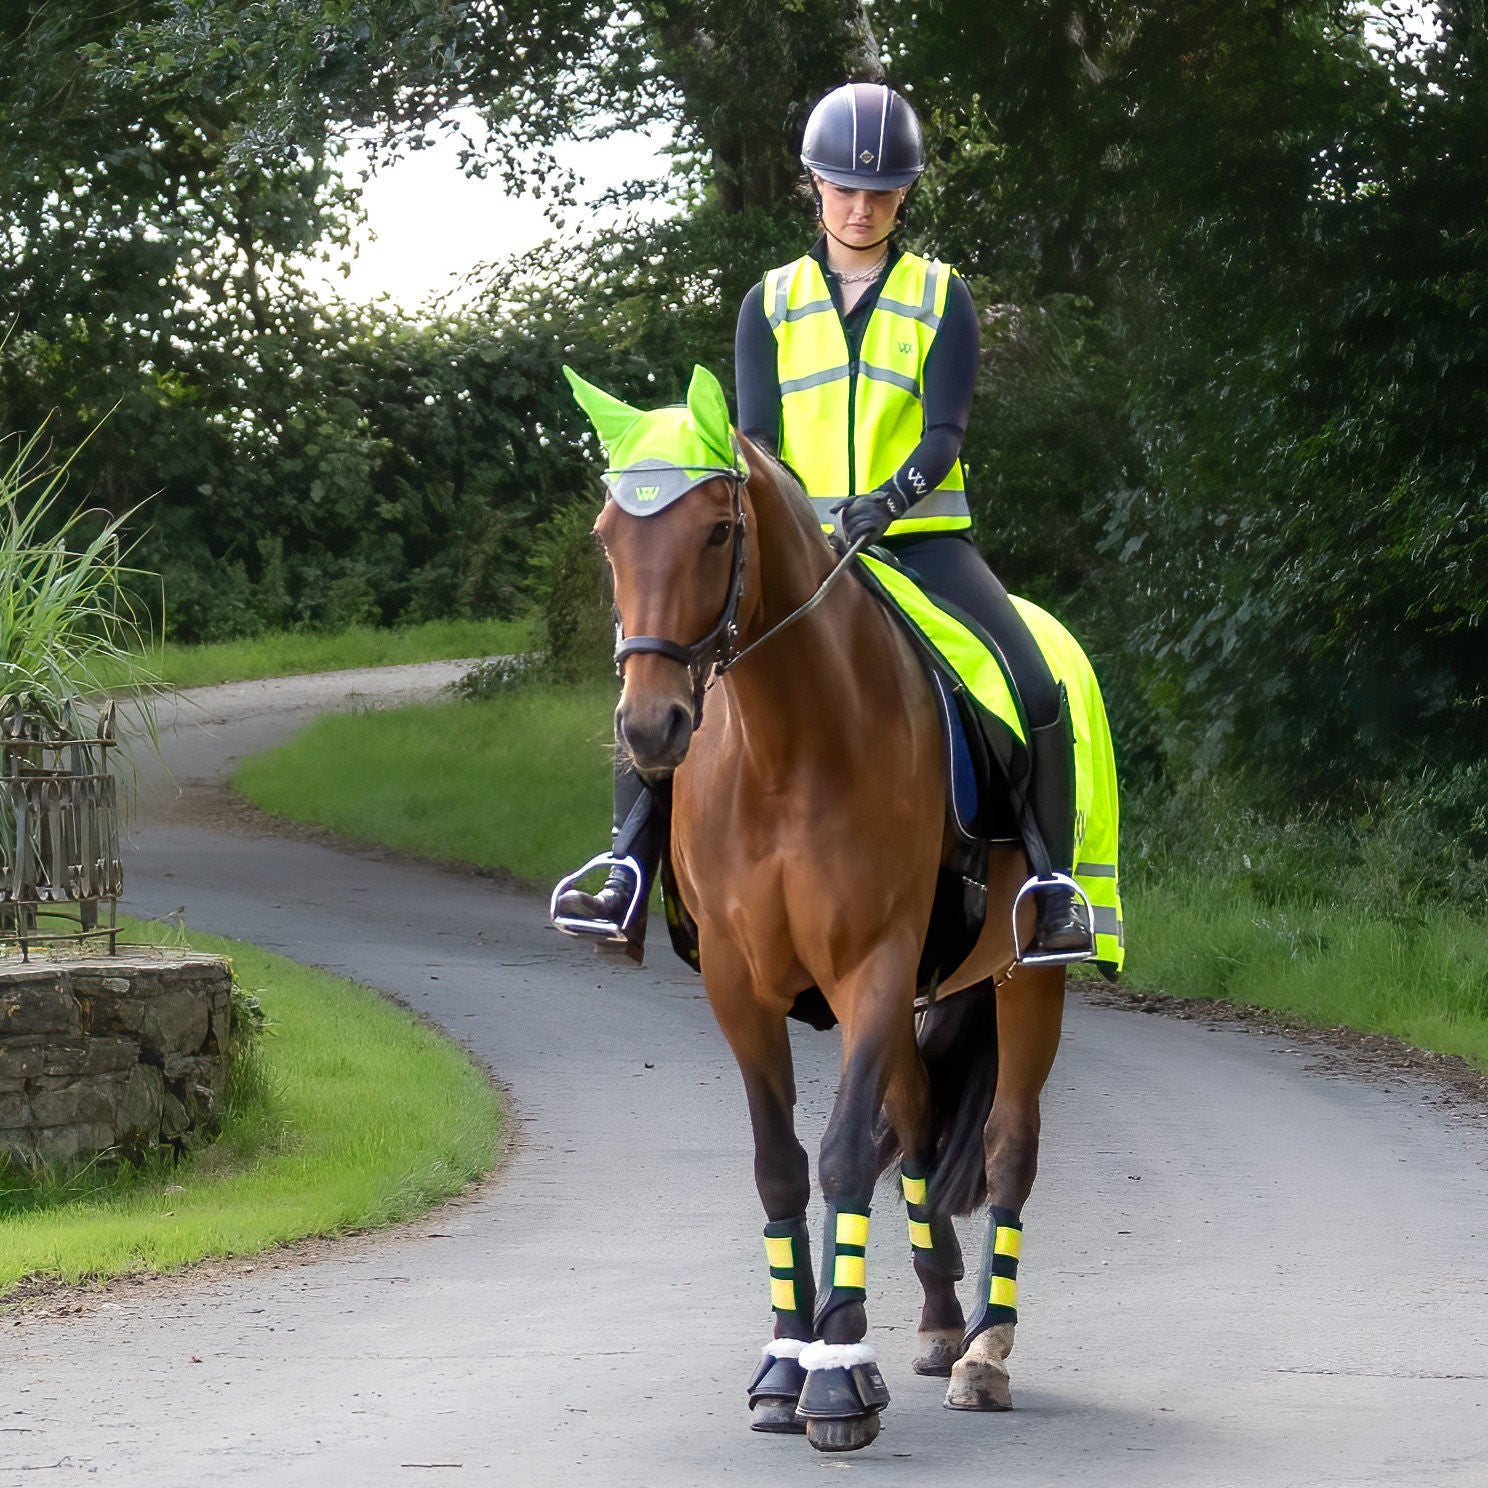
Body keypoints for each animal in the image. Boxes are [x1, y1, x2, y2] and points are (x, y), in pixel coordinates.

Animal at [586, 372, 1065, 1452]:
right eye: (606, 535)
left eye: (719, 530)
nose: (651, 727)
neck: (789, 747)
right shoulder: (738, 985)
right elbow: (780, 1162)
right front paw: (781, 1365)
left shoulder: (874, 964)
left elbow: (844, 1152)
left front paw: (840, 1377)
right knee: (920, 1128)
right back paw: (938, 1321)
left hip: (1030, 977)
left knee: (1008, 1144)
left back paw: (984, 1354)